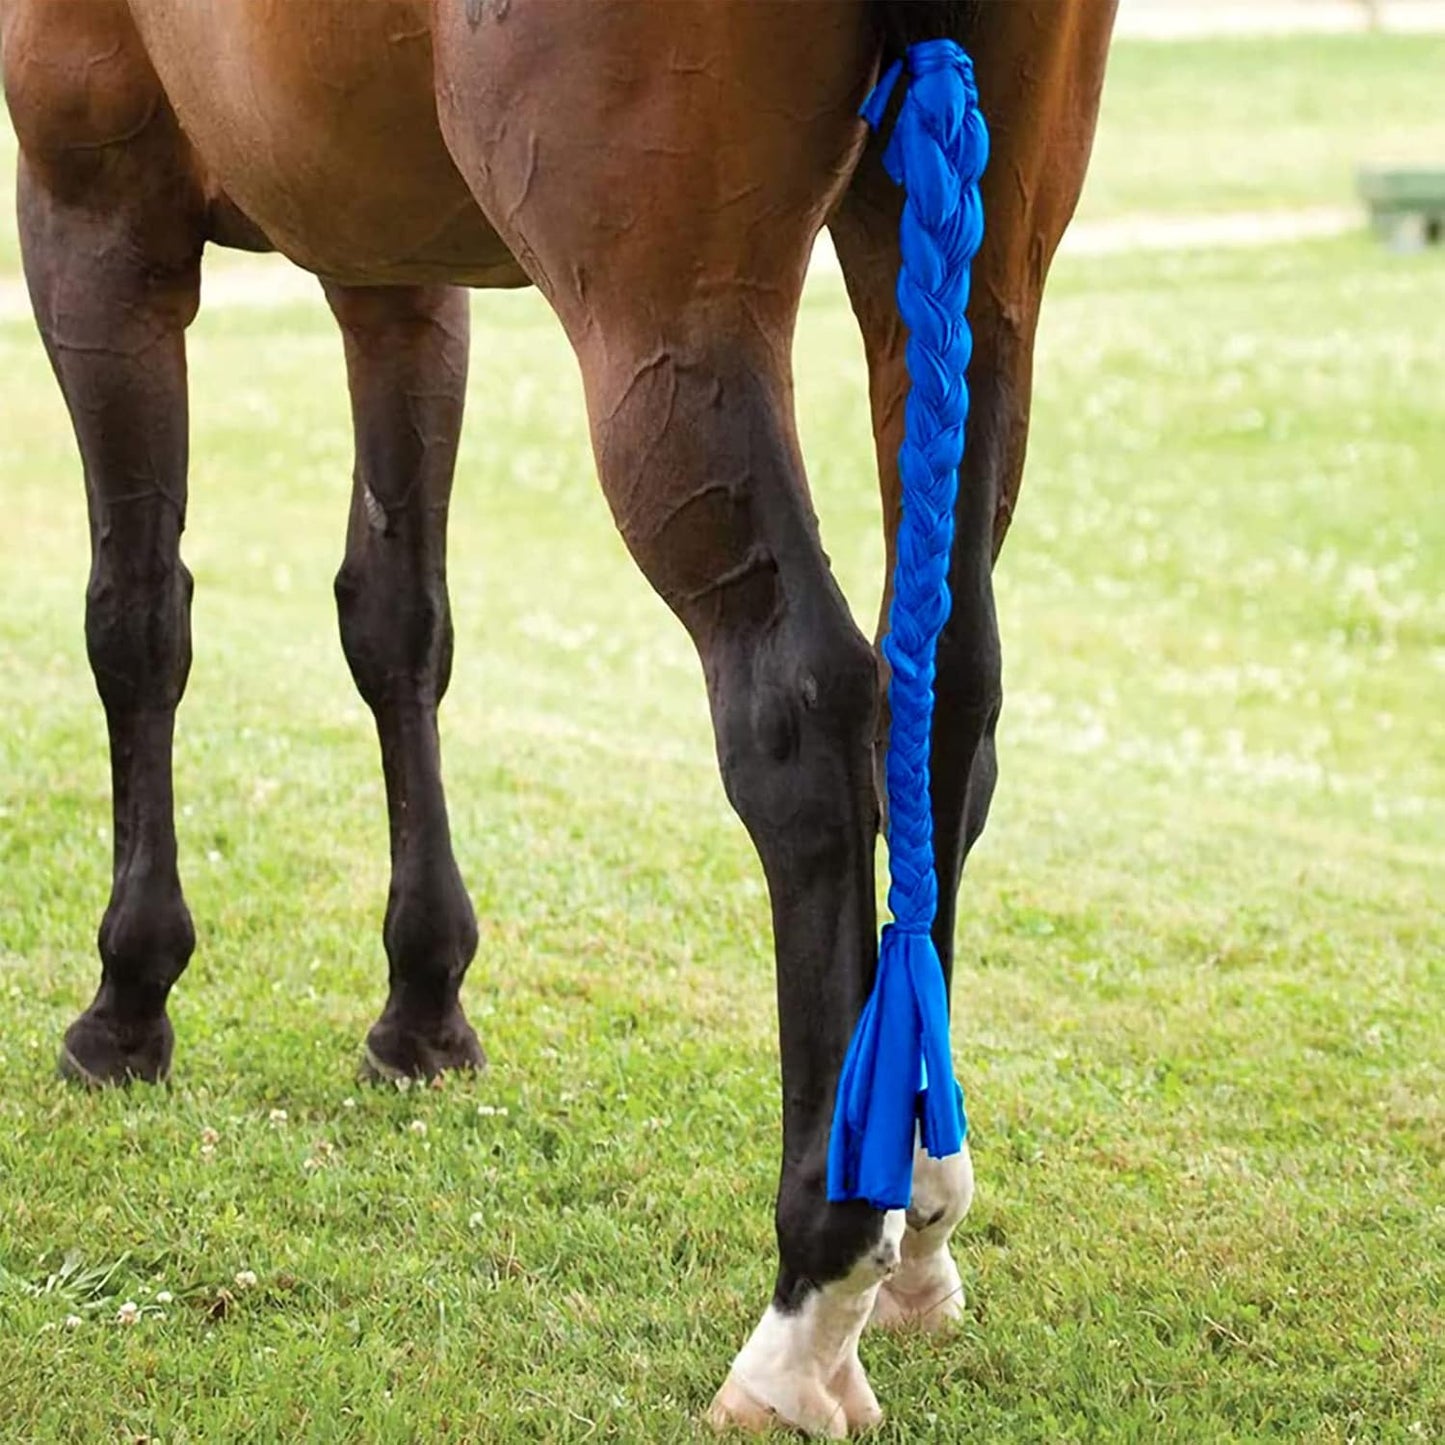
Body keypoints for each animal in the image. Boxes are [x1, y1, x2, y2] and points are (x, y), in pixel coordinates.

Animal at [1, 0, 1115, 1432]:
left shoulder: (95, 207)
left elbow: (136, 619)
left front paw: (129, 998)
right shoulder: (394, 266)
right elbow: (396, 620)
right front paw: (423, 1003)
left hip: (664, 321)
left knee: (806, 714)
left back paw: (807, 1304)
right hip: (977, 279)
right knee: (945, 706)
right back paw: (915, 1215)